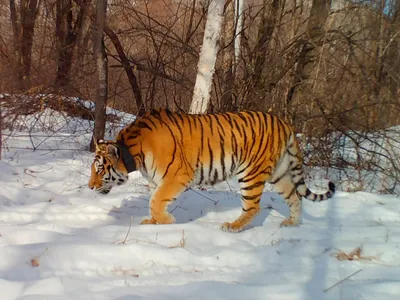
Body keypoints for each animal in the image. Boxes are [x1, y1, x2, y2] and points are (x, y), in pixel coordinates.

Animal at [87, 109, 334, 233]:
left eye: (99, 169)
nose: (89, 187)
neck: (133, 152)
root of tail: (284, 122)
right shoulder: (157, 180)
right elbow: (154, 201)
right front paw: (152, 222)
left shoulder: (176, 176)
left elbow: (156, 201)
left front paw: (167, 221)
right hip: (279, 173)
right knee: (294, 197)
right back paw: (292, 223)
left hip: (251, 173)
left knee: (253, 206)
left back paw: (232, 226)